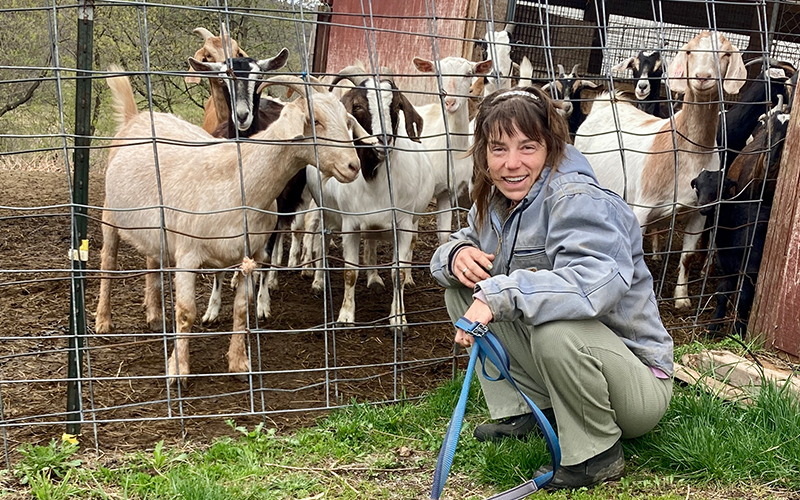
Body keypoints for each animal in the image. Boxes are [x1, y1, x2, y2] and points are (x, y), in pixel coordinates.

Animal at [98, 63, 374, 382]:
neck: (240, 181)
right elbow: (186, 312)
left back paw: (154, 316)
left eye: (347, 120)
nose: (352, 166)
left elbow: (242, 309)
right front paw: (178, 370)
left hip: (155, 230)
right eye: (314, 121)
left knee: (152, 261)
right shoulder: (188, 253)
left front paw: (239, 364)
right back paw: (103, 321)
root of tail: (136, 117)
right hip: (109, 212)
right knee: (108, 261)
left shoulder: (250, 254)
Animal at [304, 68, 432, 330]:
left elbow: (398, 272)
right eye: (358, 106)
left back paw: (376, 279)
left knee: (375, 243)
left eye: (396, 105)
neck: (375, 181)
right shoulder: (350, 224)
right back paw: (318, 282)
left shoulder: (403, 223)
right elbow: (350, 272)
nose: (383, 141)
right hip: (325, 211)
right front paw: (345, 317)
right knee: (322, 242)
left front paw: (398, 319)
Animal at [572, 31, 748, 308]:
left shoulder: (699, 210)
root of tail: (605, 104)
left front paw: (682, 298)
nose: (702, 77)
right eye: (689, 51)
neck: (689, 151)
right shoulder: (642, 207)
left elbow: (687, 256)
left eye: (726, 54)